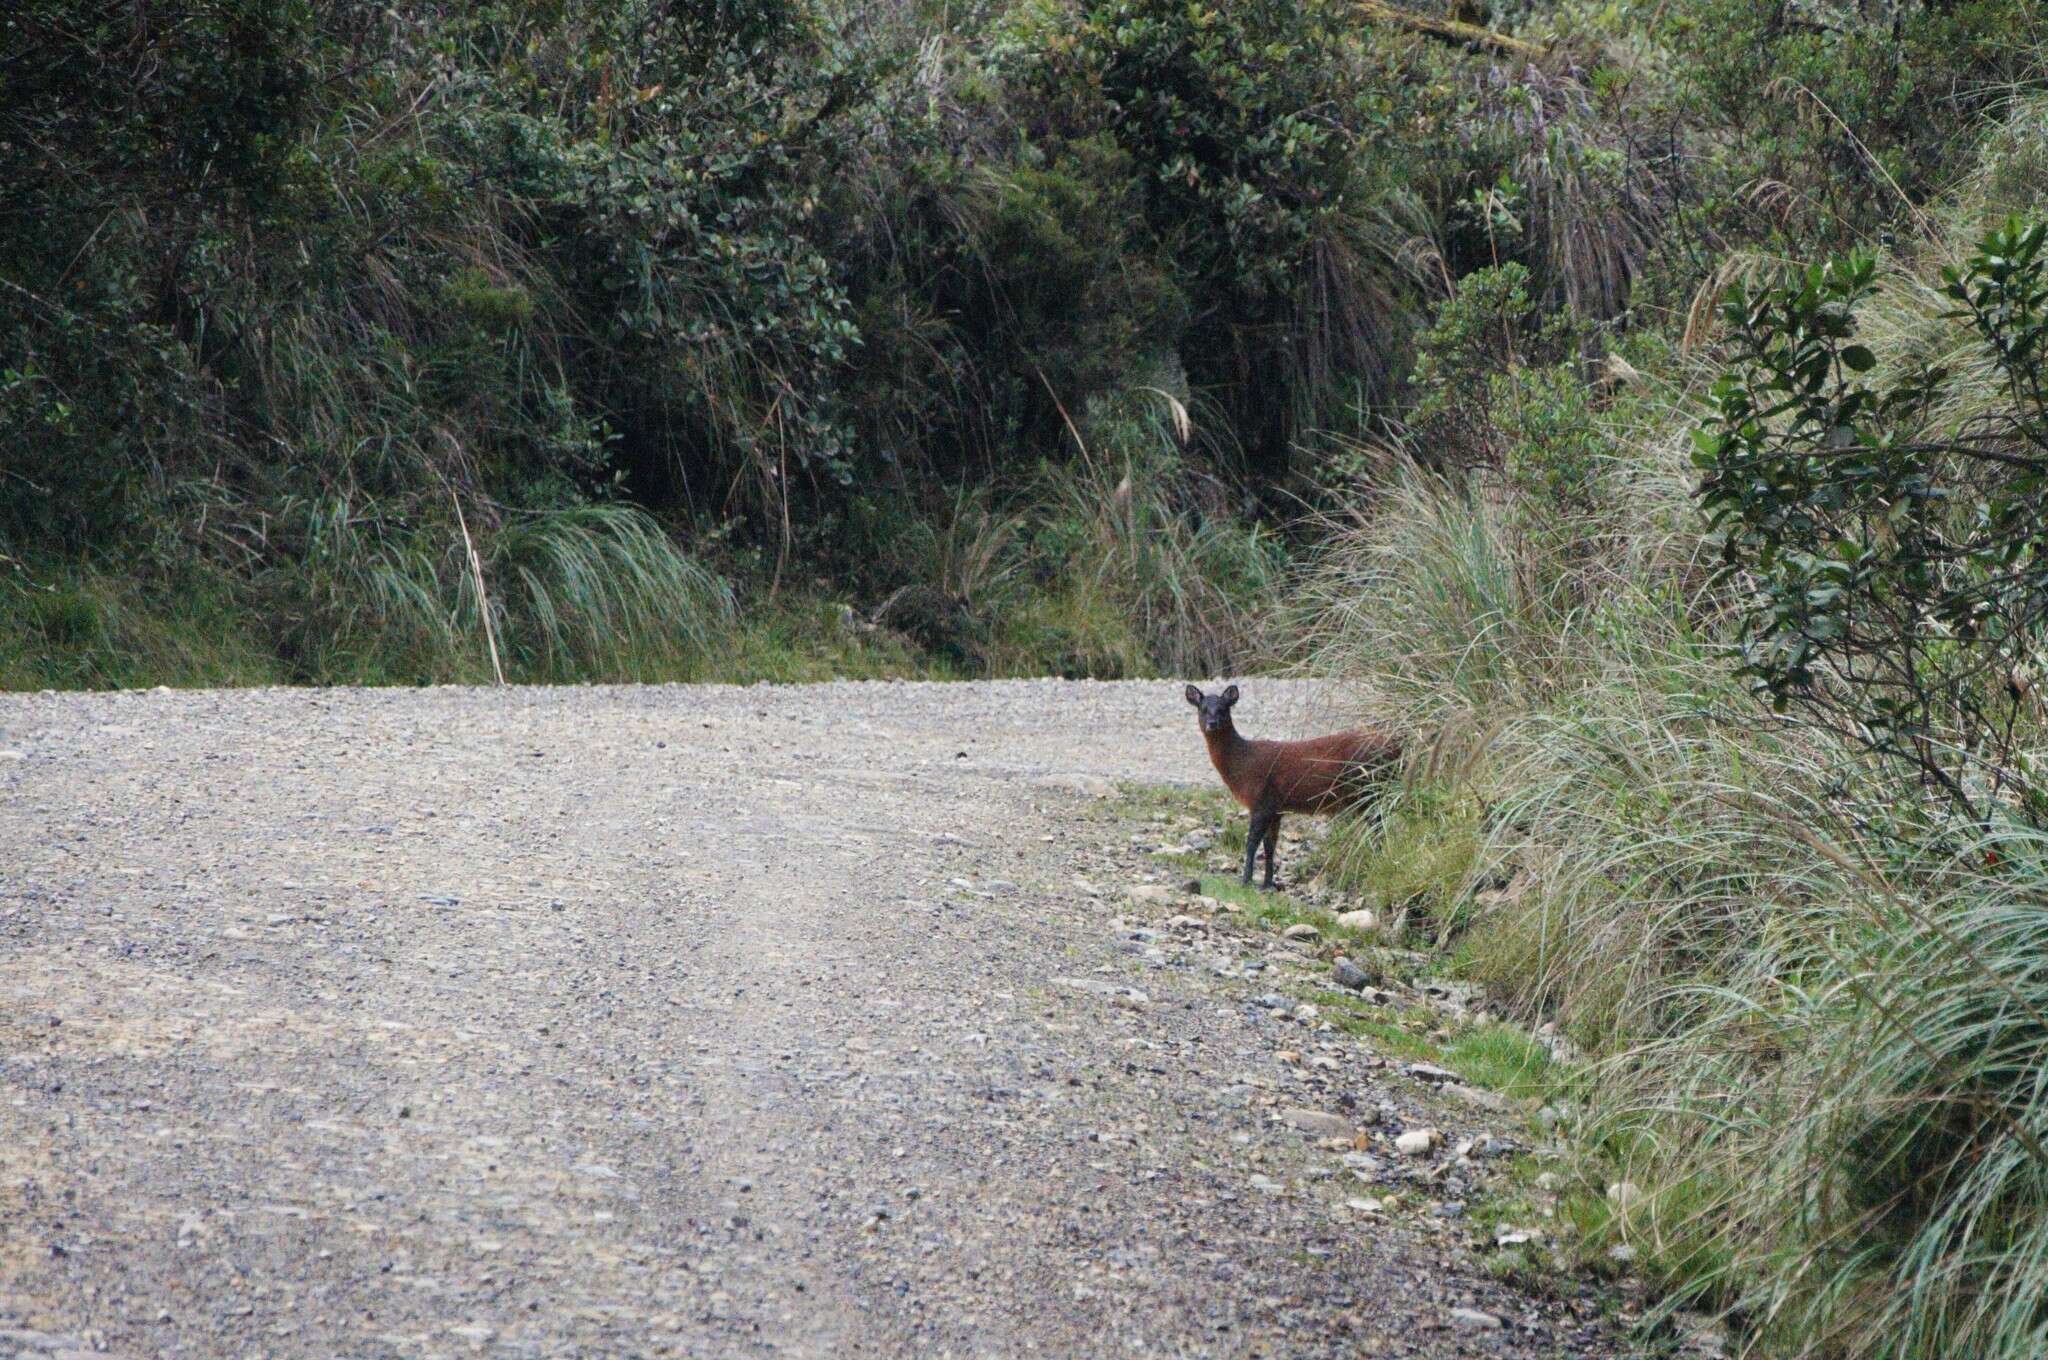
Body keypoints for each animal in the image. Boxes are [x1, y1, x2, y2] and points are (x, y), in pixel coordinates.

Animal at [1187, 684, 1409, 888]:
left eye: (1223, 708)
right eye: (1203, 709)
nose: (1212, 723)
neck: (1242, 764)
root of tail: (1398, 749)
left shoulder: (1261, 800)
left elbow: (1251, 842)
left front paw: (1246, 881)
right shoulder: (1276, 808)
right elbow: (1270, 845)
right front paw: (1268, 883)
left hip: (1369, 787)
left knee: (1379, 828)